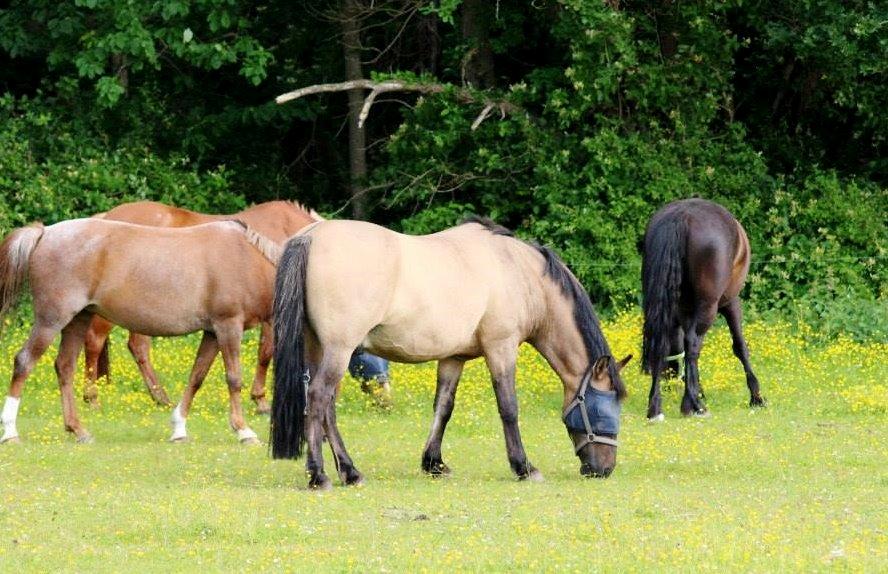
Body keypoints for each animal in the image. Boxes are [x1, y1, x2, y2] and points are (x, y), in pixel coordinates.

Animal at [0, 218, 280, 448]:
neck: (247, 260)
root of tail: (44, 232)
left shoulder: (212, 332)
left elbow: (196, 377)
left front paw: (179, 429)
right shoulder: (228, 326)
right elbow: (234, 379)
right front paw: (244, 431)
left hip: (78, 320)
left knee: (65, 367)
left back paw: (78, 430)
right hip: (52, 320)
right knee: (24, 362)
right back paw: (11, 432)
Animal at [79, 200, 316, 412]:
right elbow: (266, 353)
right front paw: (261, 400)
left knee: (138, 347)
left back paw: (160, 397)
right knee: (94, 342)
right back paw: (93, 399)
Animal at [270, 218, 632, 492]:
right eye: (604, 408)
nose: (604, 469)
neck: (517, 271)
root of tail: (311, 236)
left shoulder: (453, 357)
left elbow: (443, 407)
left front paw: (434, 463)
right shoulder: (501, 348)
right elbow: (509, 408)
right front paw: (524, 467)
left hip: (321, 348)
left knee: (326, 407)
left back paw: (349, 471)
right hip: (340, 349)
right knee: (319, 399)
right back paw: (320, 475)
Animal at [640, 200, 768, 420]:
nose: (669, 383)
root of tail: (681, 216)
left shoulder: (685, 312)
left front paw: (697, 391)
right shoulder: (731, 303)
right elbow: (740, 347)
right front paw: (756, 396)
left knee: (663, 344)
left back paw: (656, 407)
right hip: (710, 307)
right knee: (692, 344)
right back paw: (693, 406)